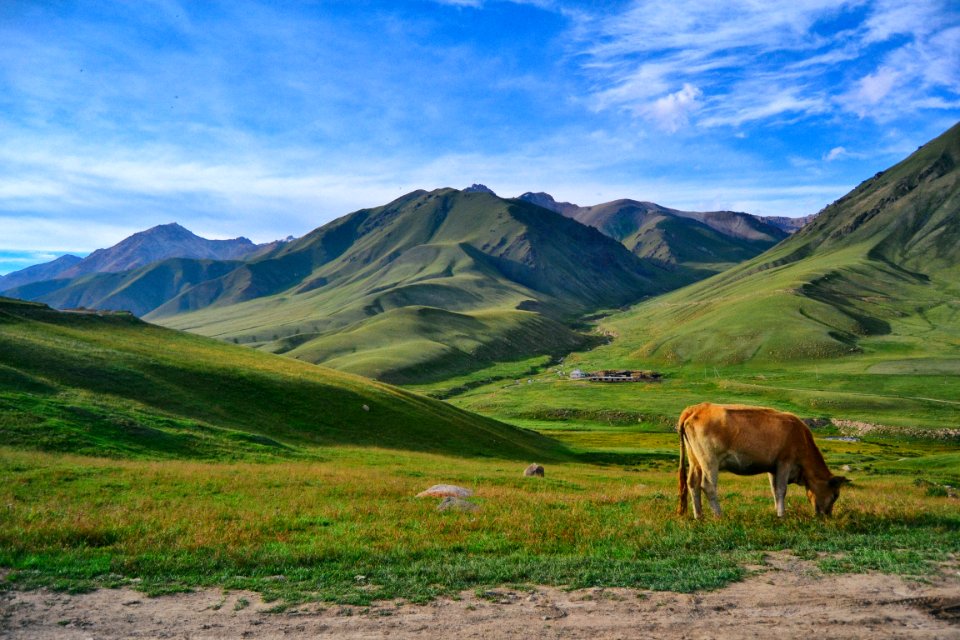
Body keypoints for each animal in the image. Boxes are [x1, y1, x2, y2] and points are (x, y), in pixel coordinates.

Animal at [676, 402, 848, 516]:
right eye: (835, 495)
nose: (827, 515)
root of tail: (696, 408)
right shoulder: (785, 462)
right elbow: (781, 489)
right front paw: (782, 515)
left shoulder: (773, 468)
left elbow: (774, 490)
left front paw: (776, 511)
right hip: (709, 460)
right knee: (708, 485)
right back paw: (719, 515)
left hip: (695, 460)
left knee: (693, 484)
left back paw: (699, 516)